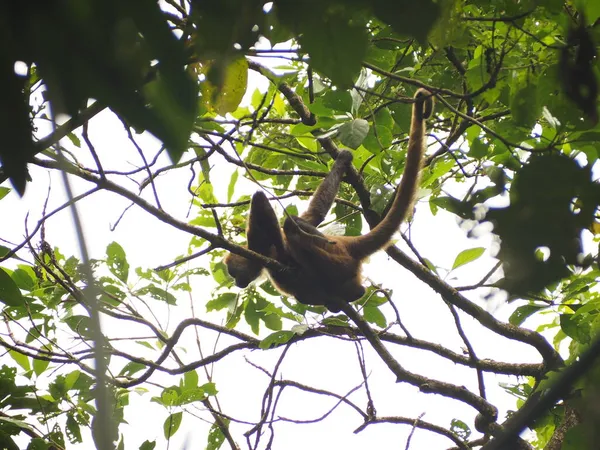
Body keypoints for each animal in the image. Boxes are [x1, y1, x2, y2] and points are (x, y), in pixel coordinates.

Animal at [223, 89, 434, 312]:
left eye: (233, 272)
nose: (237, 282)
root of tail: (346, 244)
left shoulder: (260, 242)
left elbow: (262, 202)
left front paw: (285, 254)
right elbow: (315, 213)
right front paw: (342, 161)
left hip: (339, 260)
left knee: (292, 225)